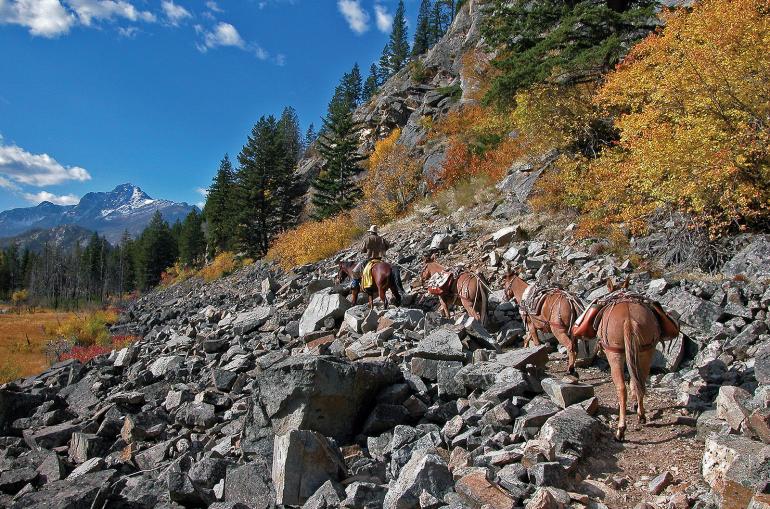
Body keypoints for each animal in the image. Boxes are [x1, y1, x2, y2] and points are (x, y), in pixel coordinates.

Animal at [592, 278, 668, 440]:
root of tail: (629, 320)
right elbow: (634, 380)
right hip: (646, 351)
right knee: (641, 382)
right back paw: (641, 415)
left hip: (614, 354)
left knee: (621, 388)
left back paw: (621, 429)